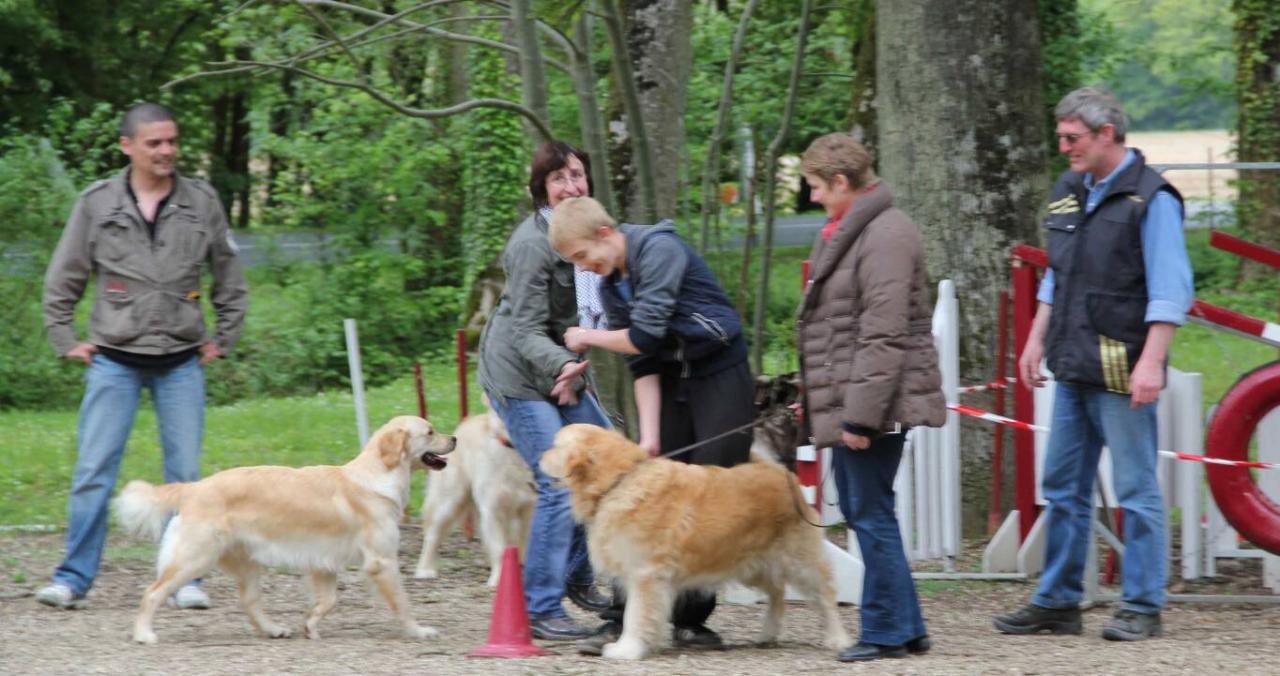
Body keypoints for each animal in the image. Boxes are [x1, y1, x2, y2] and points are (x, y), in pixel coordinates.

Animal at [113, 417, 455, 645]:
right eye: (429, 432)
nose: (454, 438)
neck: (377, 475)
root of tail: (192, 488)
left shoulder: (323, 562)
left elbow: (329, 600)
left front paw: (310, 625)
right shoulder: (382, 561)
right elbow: (402, 602)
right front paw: (418, 631)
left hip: (245, 562)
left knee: (249, 602)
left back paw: (273, 629)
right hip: (194, 558)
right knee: (152, 592)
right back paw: (143, 634)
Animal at [537, 425, 849, 655]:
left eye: (555, 445)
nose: (538, 457)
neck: (619, 481)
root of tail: (778, 471)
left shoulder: (646, 575)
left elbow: (636, 615)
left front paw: (627, 649)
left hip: (799, 562)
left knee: (824, 594)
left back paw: (837, 638)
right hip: (750, 564)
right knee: (777, 592)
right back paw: (769, 632)